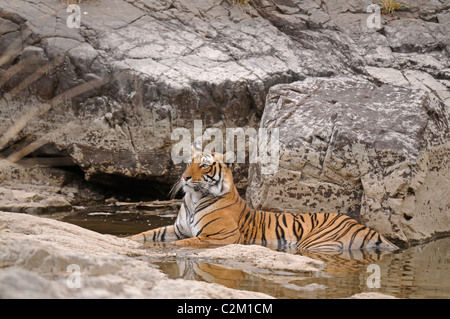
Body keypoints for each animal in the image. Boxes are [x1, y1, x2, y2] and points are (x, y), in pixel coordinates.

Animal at [128, 148, 400, 252]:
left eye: (203, 165)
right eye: (188, 163)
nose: (184, 177)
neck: (194, 199)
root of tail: (367, 227)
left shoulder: (220, 236)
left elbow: (183, 244)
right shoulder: (177, 229)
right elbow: (147, 235)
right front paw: (124, 240)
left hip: (315, 242)